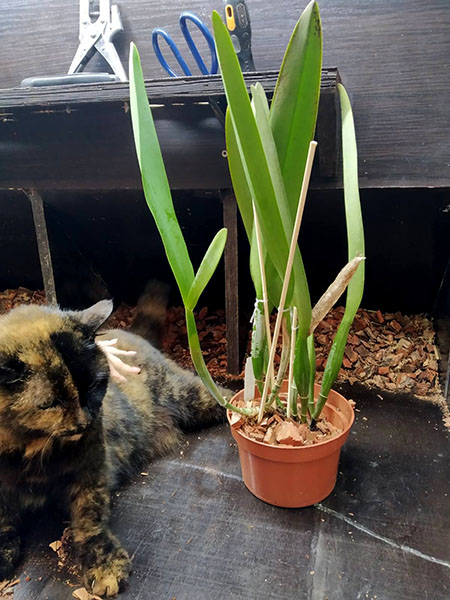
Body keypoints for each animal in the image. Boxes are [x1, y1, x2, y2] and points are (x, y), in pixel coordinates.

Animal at [0, 290, 227, 596]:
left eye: (94, 386)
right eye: (51, 403)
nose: (85, 421)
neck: (30, 450)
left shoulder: (90, 472)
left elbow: (90, 523)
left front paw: (104, 565)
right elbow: (3, 521)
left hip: (189, 395)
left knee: (222, 395)